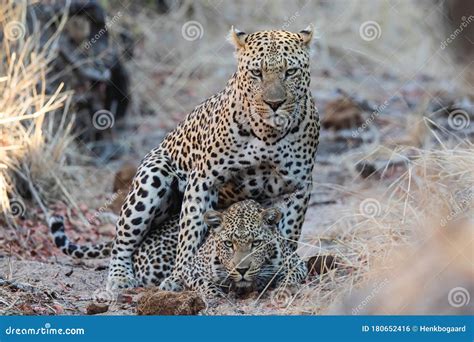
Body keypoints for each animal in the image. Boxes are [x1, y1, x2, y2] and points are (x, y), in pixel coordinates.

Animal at [49, 200, 308, 296]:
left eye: (256, 244)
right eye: (228, 244)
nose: (242, 270)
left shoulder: (297, 264)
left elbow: (291, 275)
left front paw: (282, 288)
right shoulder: (191, 269)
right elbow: (206, 285)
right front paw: (216, 295)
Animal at [107, 25, 320, 292]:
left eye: (290, 72)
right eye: (257, 73)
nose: (275, 104)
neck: (268, 134)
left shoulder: (298, 186)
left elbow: (288, 231)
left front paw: (284, 263)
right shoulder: (203, 180)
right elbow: (190, 232)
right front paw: (180, 276)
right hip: (152, 176)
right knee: (122, 240)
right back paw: (119, 277)